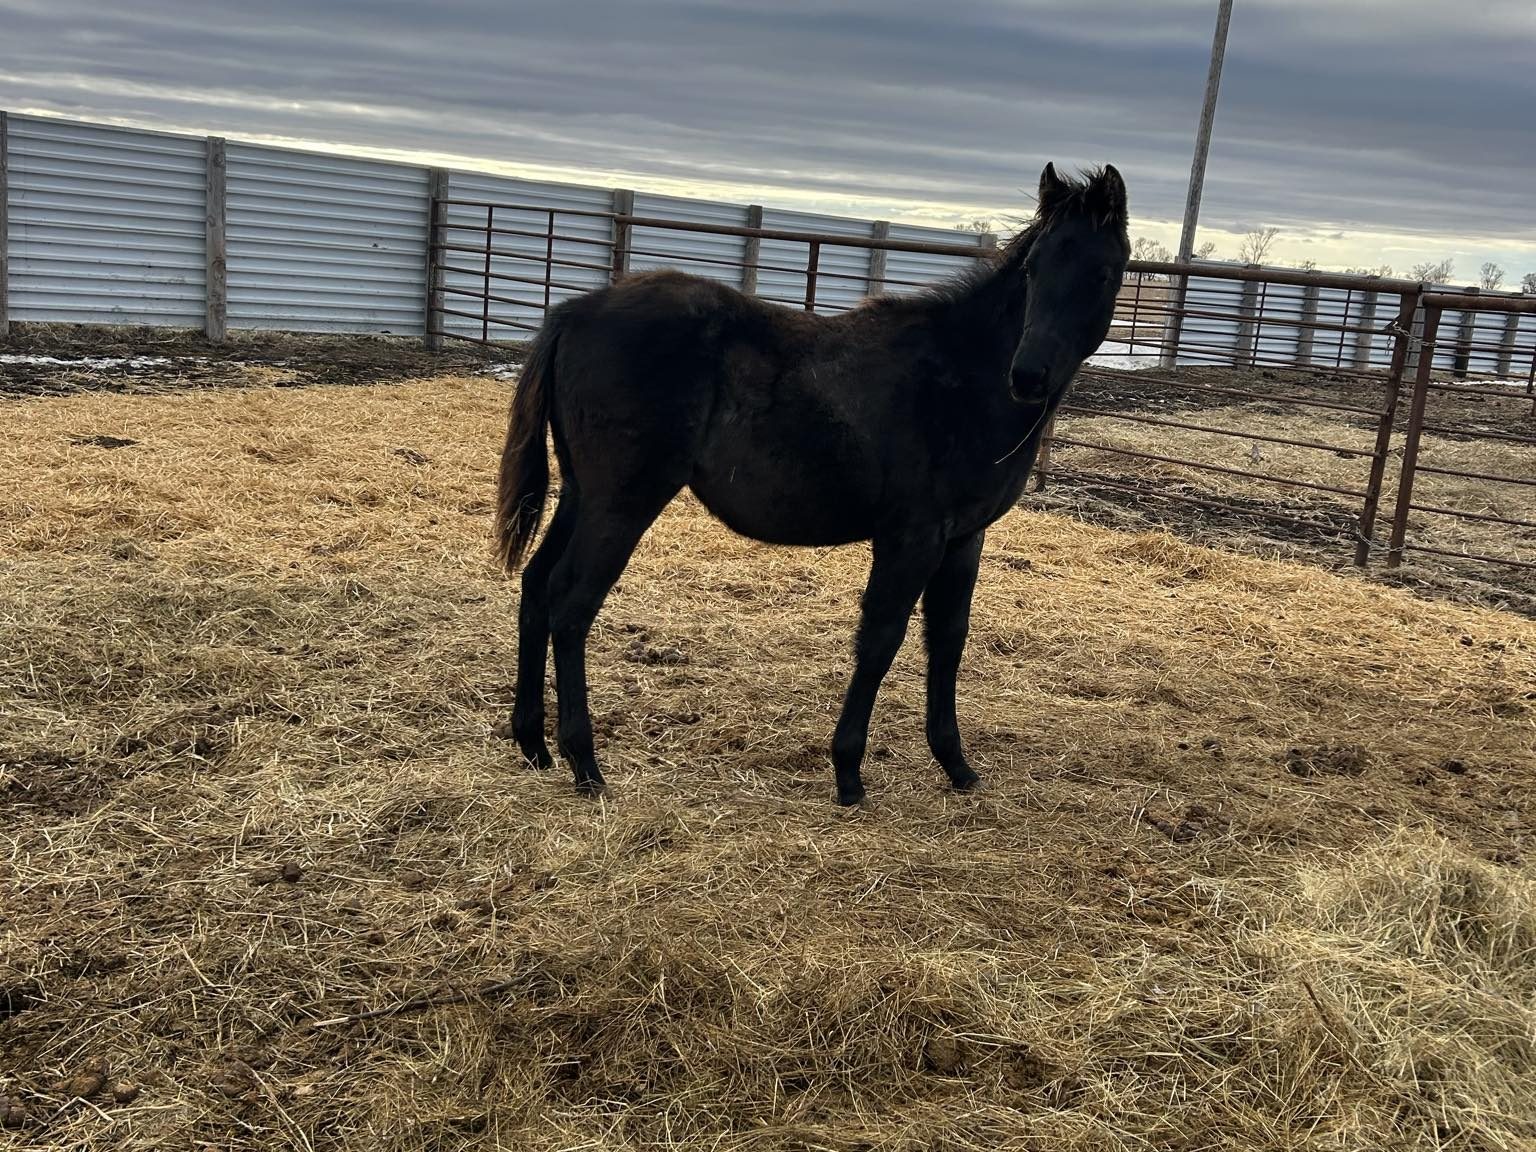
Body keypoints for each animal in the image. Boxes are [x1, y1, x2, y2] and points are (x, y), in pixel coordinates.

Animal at [493, 163, 1130, 806]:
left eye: (1102, 271)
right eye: (1032, 268)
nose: (1028, 376)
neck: (961, 378)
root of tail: (575, 312)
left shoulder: (962, 538)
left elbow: (947, 641)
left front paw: (955, 764)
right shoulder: (912, 536)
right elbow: (881, 640)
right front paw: (848, 772)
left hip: (581, 495)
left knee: (537, 587)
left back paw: (534, 744)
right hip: (621, 503)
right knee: (571, 604)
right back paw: (585, 763)